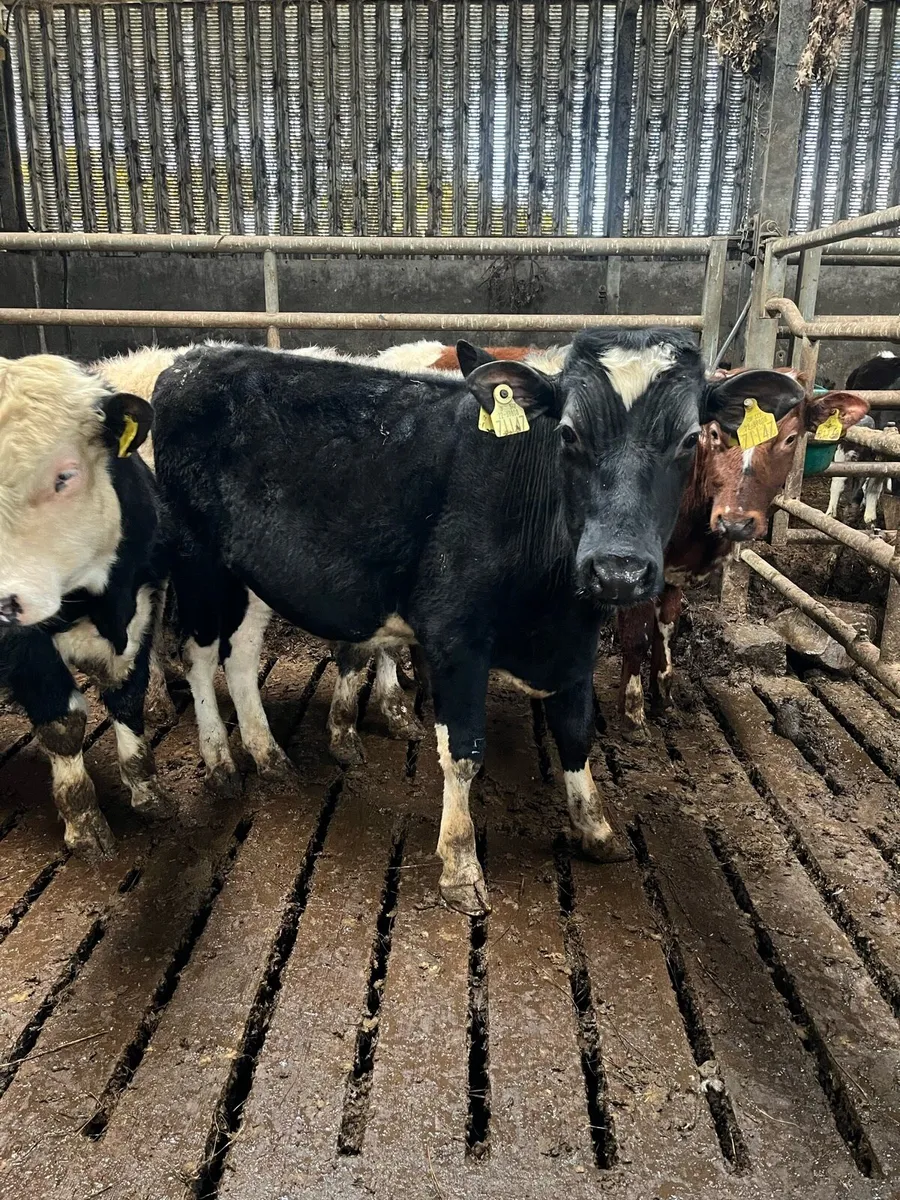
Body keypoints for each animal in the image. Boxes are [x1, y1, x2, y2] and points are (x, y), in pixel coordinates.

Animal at [0, 354, 171, 858]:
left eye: (65, 476)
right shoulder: (22, 640)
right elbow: (63, 726)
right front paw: (85, 823)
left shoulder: (142, 605)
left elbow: (128, 699)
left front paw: (146, 791)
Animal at [148, 327, 797, 915]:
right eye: (567, 433)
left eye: (691, 439)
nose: (618, 570)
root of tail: (190, 359)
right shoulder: (455, 637)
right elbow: (463, 752)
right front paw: (460, 867)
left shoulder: (576, 641)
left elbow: (576, 732)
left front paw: (596, 830)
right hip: (195, 556)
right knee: (199, 652)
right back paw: (220, 761)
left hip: (249, 572)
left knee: (240, 653)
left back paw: (268, 754)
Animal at [618, 386, 869, 736]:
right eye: (713, 433)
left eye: (790, 438)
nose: (735, 522)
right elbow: (636, 637)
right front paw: (632, 715)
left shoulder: (675, 570)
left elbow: (666, 629)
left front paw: (664, 697)